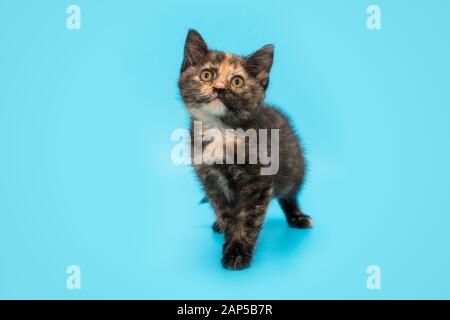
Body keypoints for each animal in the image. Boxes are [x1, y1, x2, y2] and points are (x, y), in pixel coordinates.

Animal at [177, 30, 312, 270]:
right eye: (206, 75)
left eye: (237, 81)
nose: (219, 88)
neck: (221, 131)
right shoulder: (211, 181)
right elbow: (226, 215)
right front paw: (228, 238)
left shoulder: (258, 183)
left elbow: (248, 220)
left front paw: (238, 252)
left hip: (295, 167)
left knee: (290, 195)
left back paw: (297, 217)